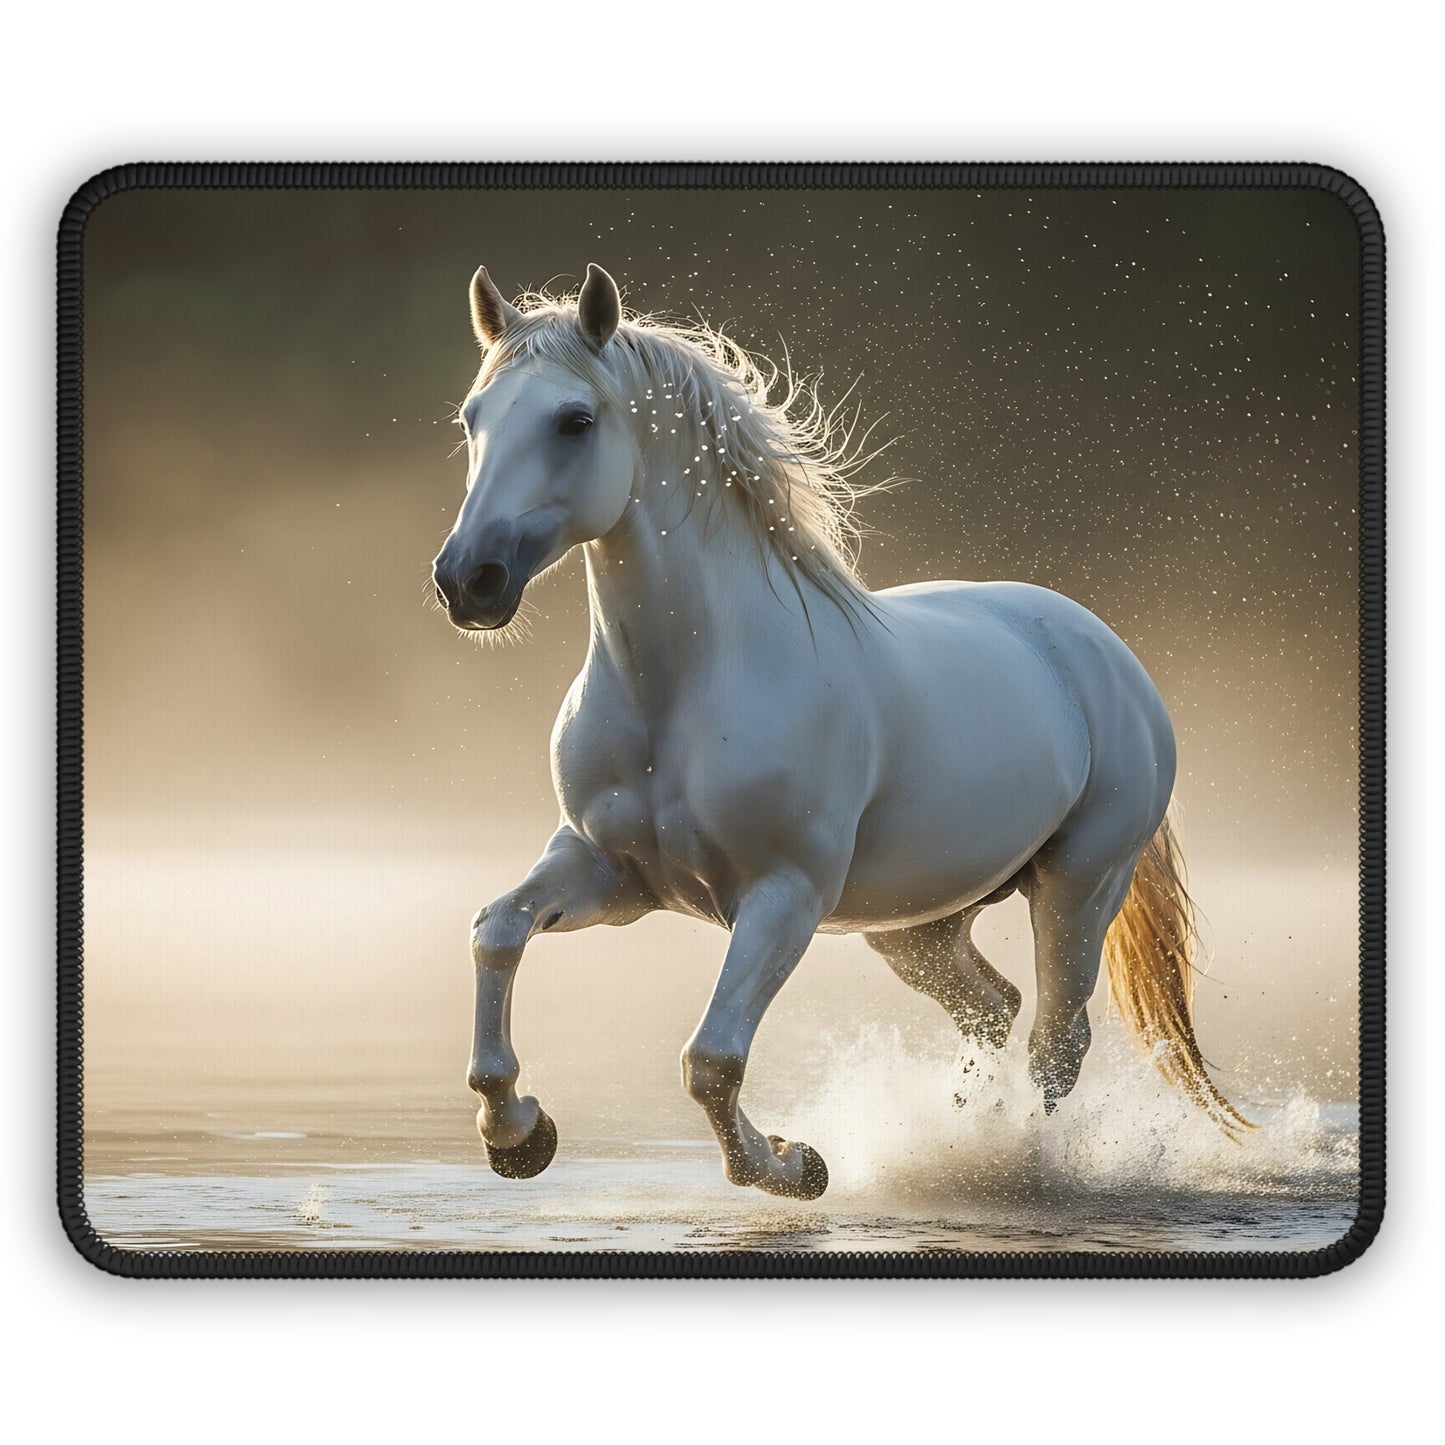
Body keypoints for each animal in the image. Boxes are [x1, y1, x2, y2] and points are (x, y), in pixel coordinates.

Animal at [430, 262, 1248, 1201]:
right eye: (472, 418)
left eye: (574, 419)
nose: (467, 580)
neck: (682, 694)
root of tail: (1108, 655)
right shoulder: (609, 869)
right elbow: (495, 929)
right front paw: (517, 1132)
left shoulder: (783, 896)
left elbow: (710, 1059)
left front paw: (794, 1164)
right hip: (915, 924)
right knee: (993, 1009)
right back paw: (954, 1132)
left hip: (1078, 884)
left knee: (1055, 1041)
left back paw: (1005, 1163)